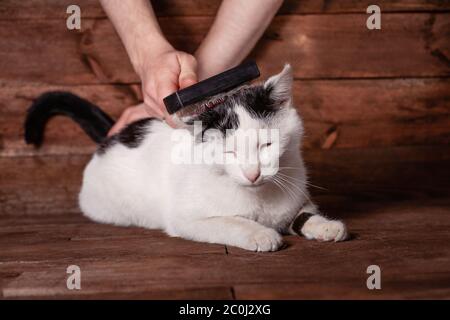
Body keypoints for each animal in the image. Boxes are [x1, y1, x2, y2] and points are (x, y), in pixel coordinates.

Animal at [24, 63, 348, 251]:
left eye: (266, 145)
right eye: (229, 151)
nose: (253, 174)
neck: (260, 199)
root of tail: (113, 135)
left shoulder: (295, 199)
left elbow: (303, 213)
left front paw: (326, 225)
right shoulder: (187, 219)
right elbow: (230, 221)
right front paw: (260, 234)